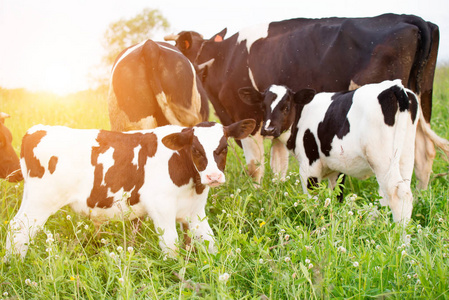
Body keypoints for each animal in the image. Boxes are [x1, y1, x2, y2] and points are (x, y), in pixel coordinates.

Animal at [4, 119, 256, 260]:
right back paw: (14, 264)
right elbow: (171, 245)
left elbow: (210, 243)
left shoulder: (195, 212)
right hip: (41, 201)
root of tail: (38, 130)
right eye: (195, 149)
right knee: (19, 229)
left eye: (224, 147)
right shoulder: (161, 207)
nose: (213, 176)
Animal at [164, 13, 440, 190]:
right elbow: (278, 166)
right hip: (420, 104)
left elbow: (255, 166)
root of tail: (408, 18)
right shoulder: (275, 124)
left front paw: (256, 194)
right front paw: (275, 195)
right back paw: (422, 195)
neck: (224, 58)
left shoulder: (246, 119)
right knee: (424, 151)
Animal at [238, 81, 424, 224]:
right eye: (263, 107)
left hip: (382, 160)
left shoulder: (309, 168)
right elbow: (336, 197)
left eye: (286, 107)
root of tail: (395, 86)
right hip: (404, 156)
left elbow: (313, 201)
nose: (268, 129)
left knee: (398, 195)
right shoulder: (337, 168)